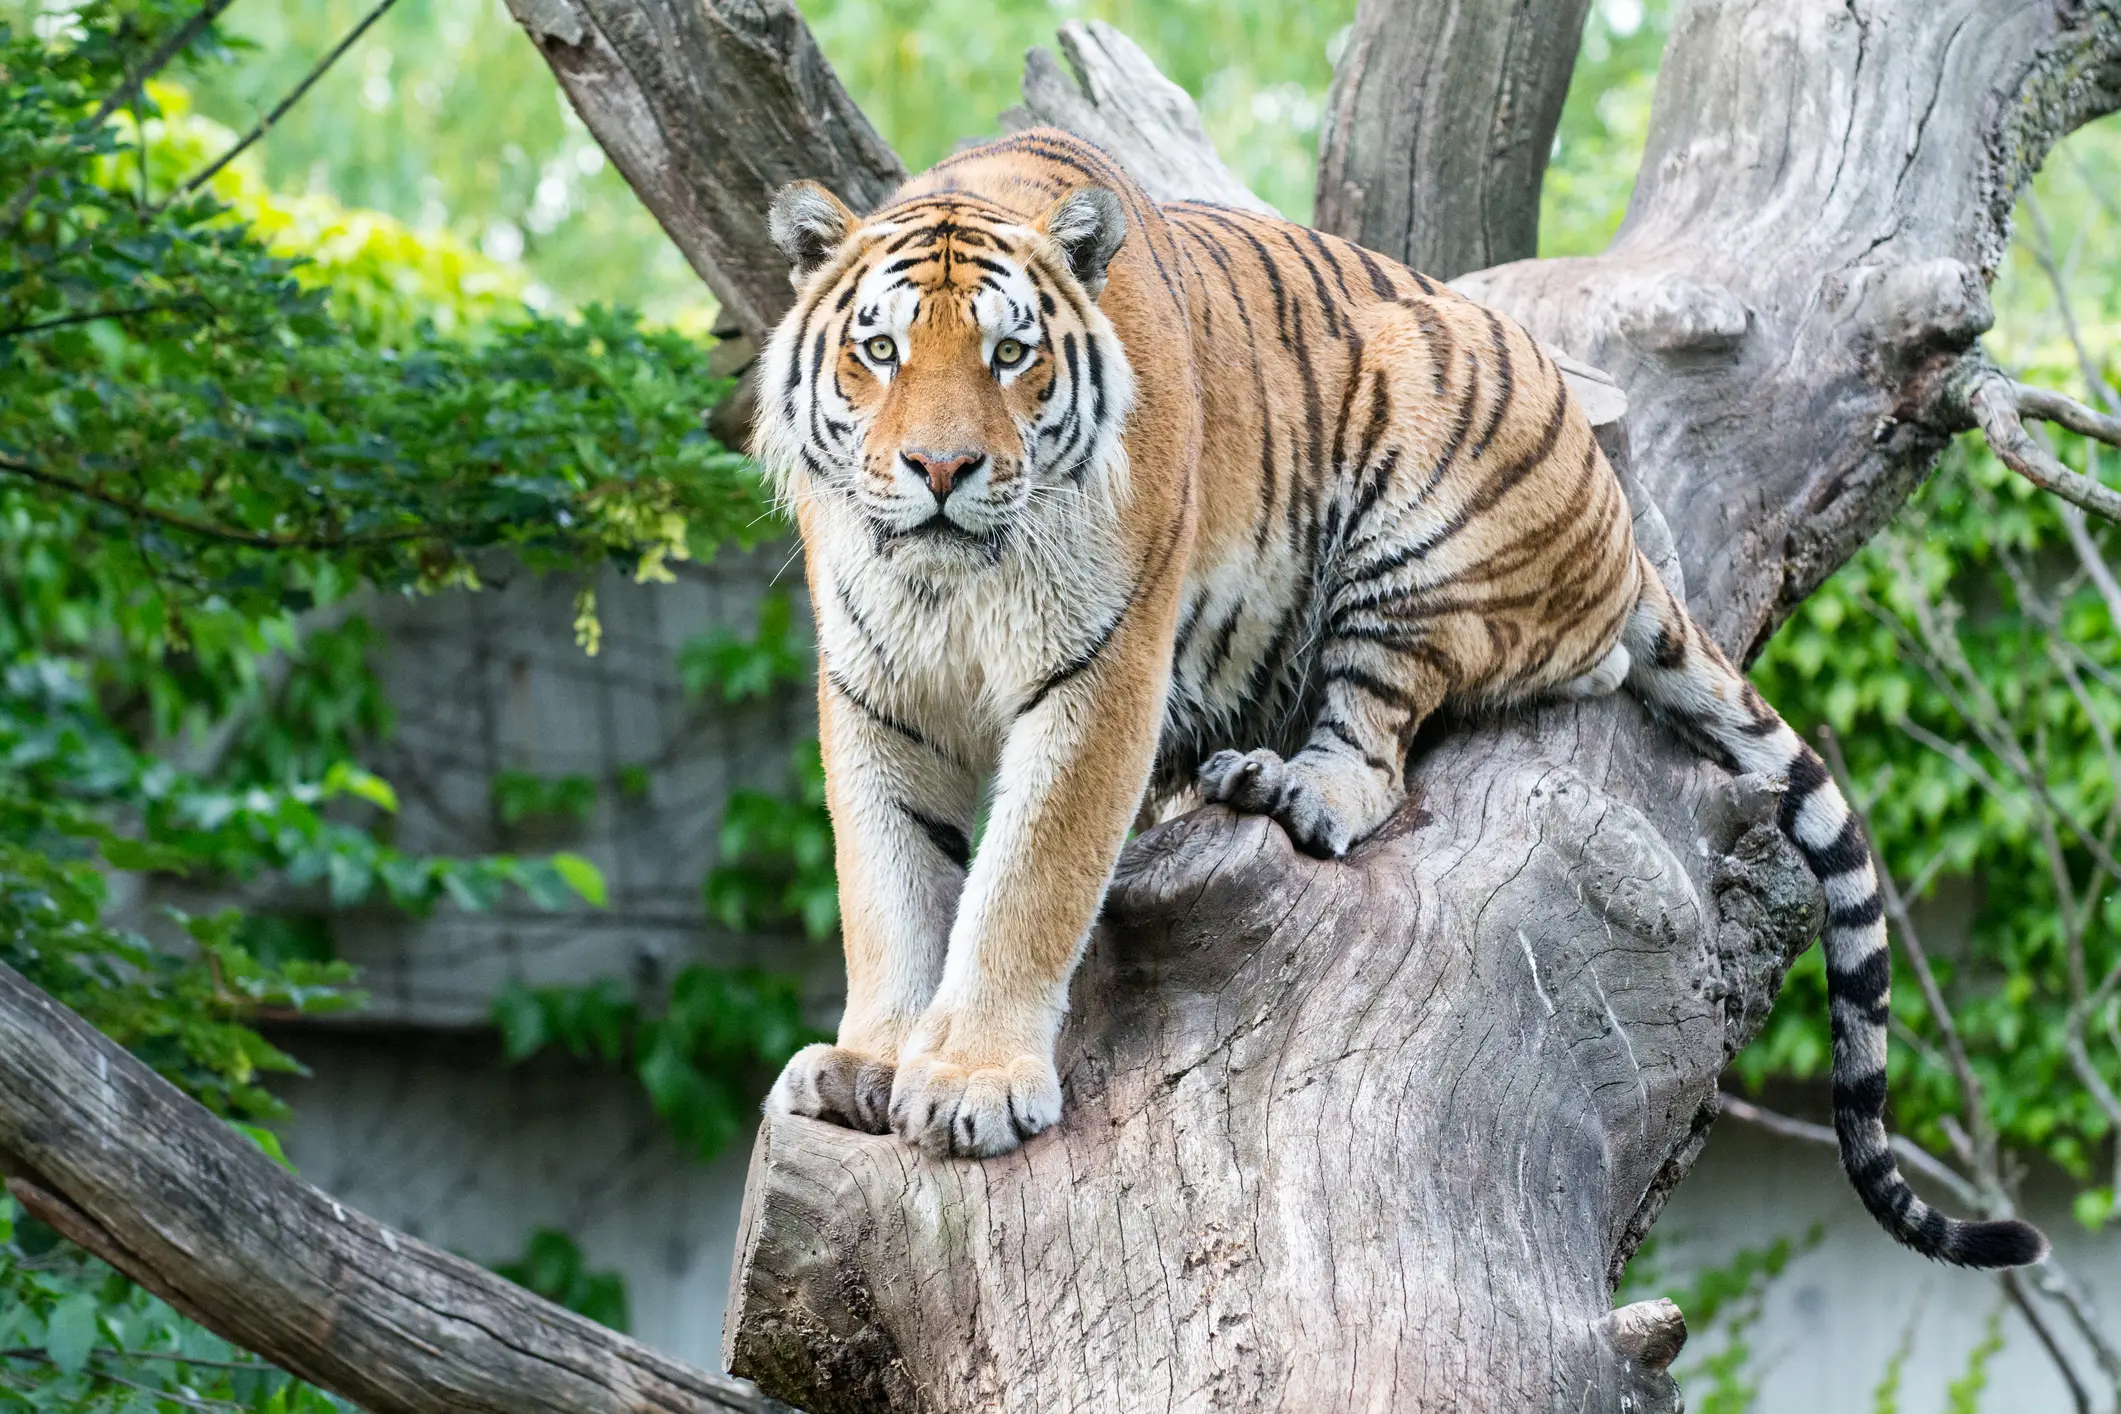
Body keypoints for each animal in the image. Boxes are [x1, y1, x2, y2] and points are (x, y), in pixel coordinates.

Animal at [752, 125, 2045, 1269]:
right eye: (880, 351)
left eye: (1011, 356)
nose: (940, 469)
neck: (946, 583)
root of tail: (1625, 537)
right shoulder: (873, 695)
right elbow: (890, 882)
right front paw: (872, 1064)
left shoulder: (1101, 676)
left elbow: (1027, 880)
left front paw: (973, 1083)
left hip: (1417, 503)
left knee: (1392, 739)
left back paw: (1290, 785)